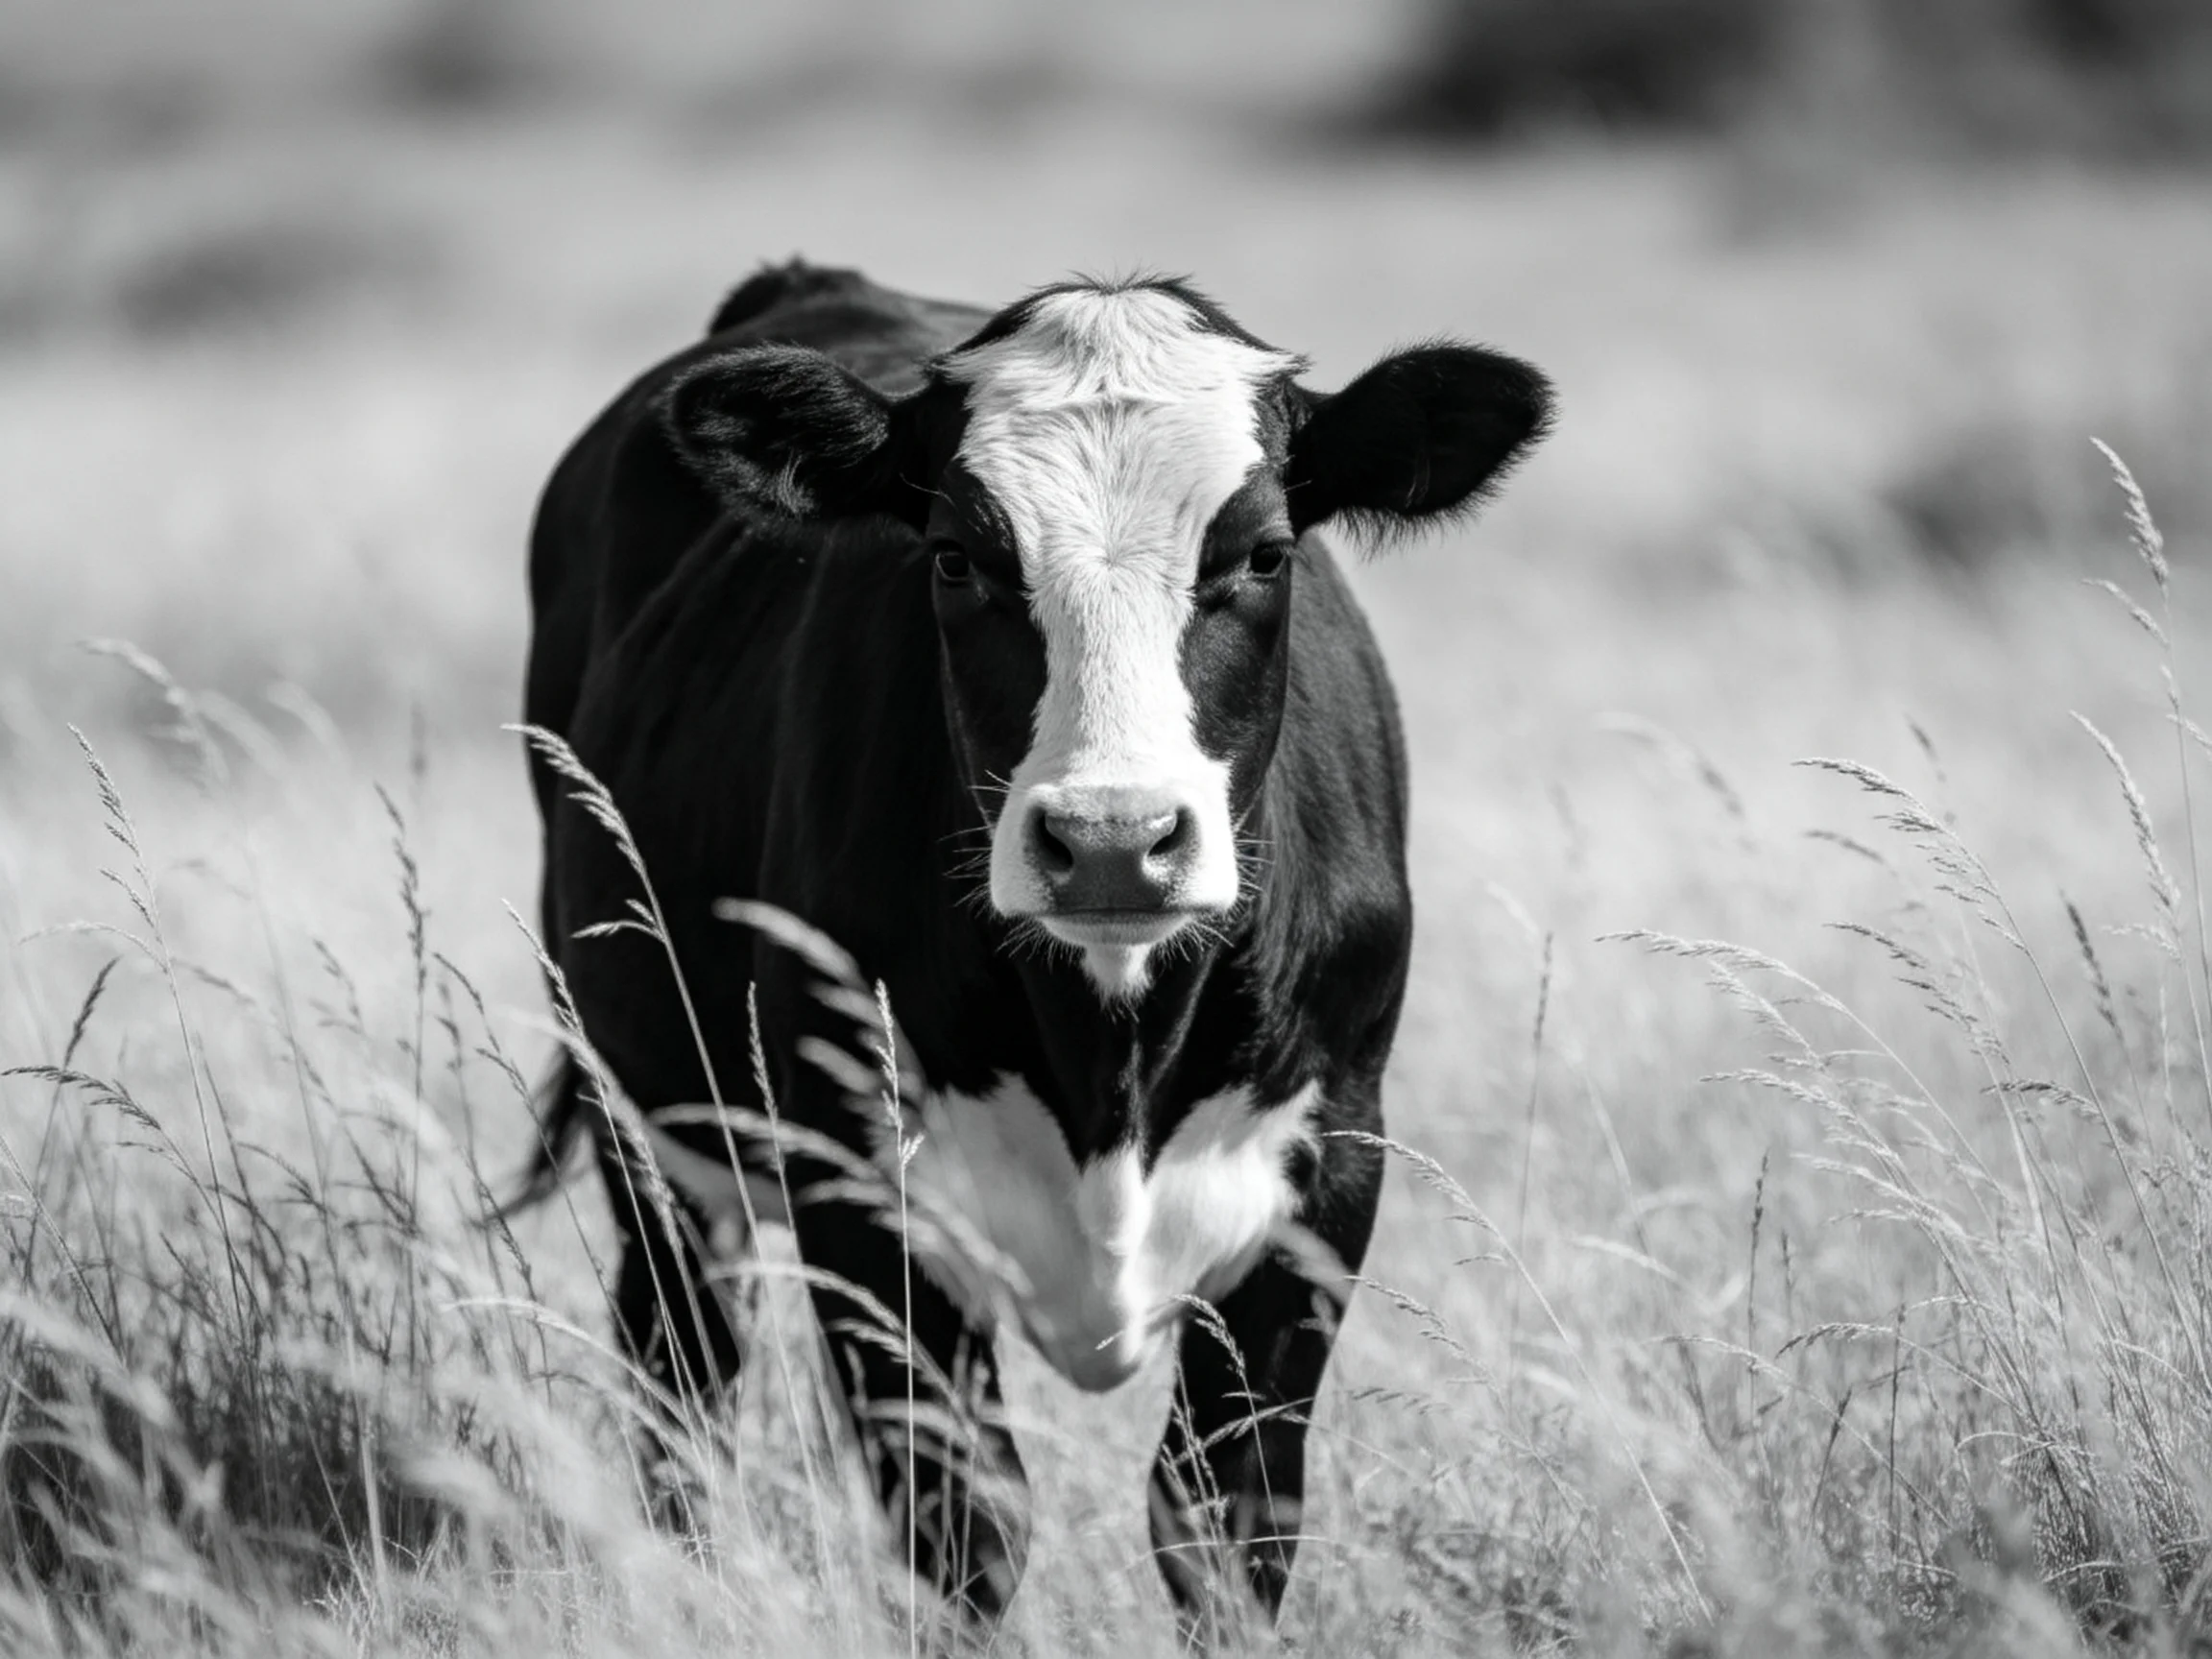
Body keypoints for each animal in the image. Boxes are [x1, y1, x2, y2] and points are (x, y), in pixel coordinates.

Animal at [514, 260, 1551, 1630]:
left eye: (1265, 552)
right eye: (956, 558)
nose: (1113, 839)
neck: (1111, 1056)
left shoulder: (1330, 1175)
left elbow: (1225, 1523)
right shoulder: (863, 1193)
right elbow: (966, 1528)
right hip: (649, 1119)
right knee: (681, 1371)